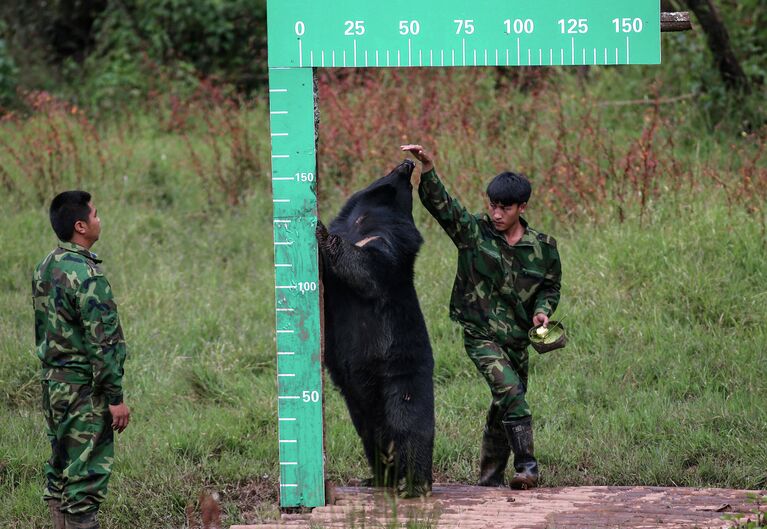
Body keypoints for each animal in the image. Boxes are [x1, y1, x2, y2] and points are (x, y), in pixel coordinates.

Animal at [316, 159, 436, 498]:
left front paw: (321, 231)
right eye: (397, 171)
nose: (408, 162)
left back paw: (415, 485)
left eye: (407, 181)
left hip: (402, 383)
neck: (362, 218)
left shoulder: (387, 244)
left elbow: (368, 267)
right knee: (375, 441)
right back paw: (378, 479)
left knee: (411, 432)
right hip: (361, 408)